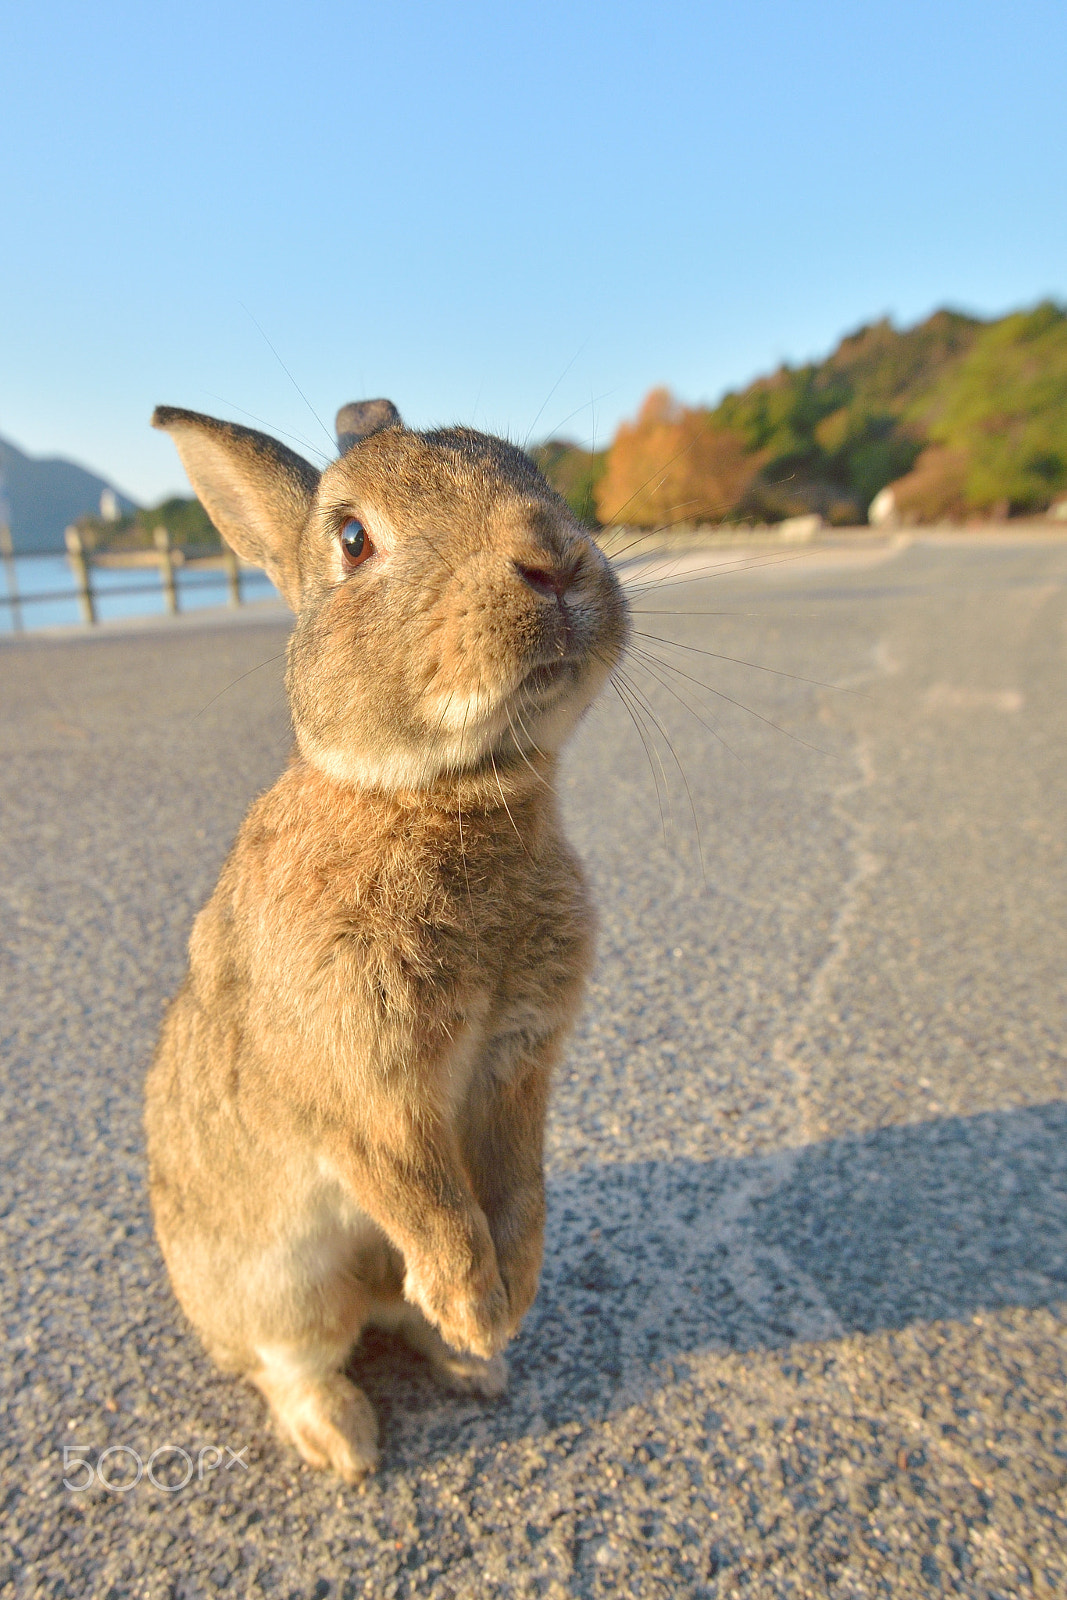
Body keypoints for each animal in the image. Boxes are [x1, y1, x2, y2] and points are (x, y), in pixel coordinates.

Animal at [140, 393, 627, 1478]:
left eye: (530, 469)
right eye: (353, 538)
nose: (552, 557)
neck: (437, 795)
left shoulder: (517, 1065)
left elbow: (518, 1188)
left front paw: (507, 1304)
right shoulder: (363, 1091)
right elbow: (423, 1194)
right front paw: (480, 1307)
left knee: (392, 1317)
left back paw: (472, 1367)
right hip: (281, 1288)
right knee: (293, 1360)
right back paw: (346, 1440)